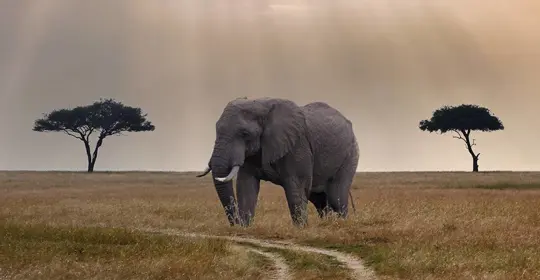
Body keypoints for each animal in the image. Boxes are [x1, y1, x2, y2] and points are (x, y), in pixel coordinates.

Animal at [197, 97, 358, 226]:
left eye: (244, 133)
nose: (235, 224)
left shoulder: (297, 145)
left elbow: (296, 187)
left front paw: (301, 230)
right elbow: (245, 186)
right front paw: (245, 228)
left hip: (350, 154)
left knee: (336, 197)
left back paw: (340, 225)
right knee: (319, 199)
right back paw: (327, 224)